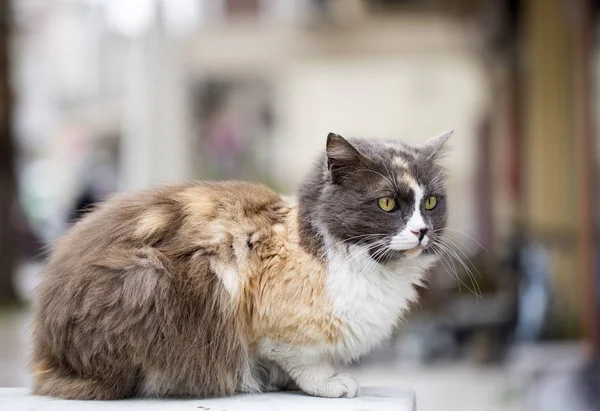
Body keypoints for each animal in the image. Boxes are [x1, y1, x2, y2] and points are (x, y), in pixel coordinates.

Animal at [29, 131, 450, 400]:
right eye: (387, 204)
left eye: (430, 202)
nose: (421, 231)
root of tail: (47, 350)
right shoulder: (279, 329)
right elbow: (308, 363)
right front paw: (330, 384)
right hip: (147, 279)